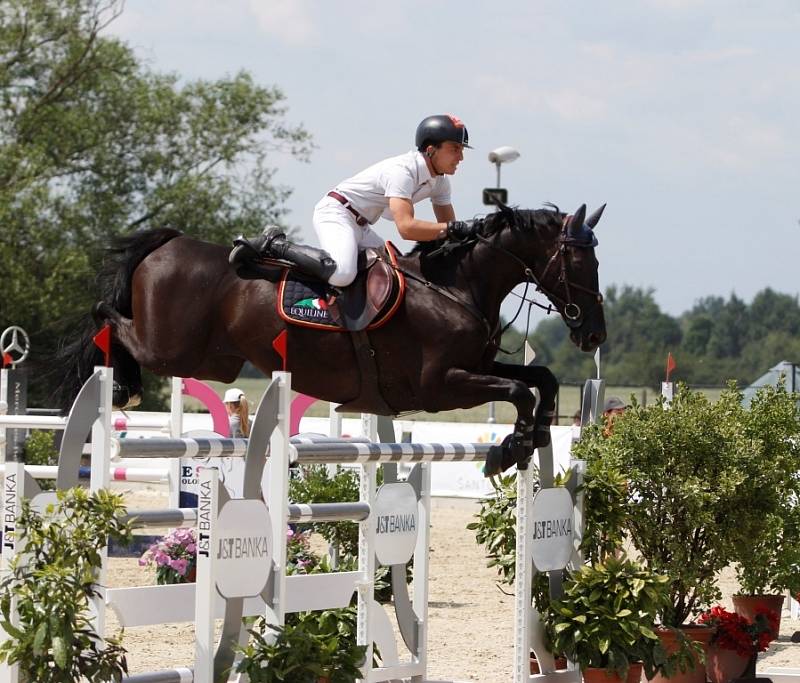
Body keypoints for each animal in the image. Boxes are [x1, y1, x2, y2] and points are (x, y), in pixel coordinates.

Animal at [53, 200, 608, 472]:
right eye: (581, 261)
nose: (594, 334)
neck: (456, 286)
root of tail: (169, 243)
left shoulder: (477, 367)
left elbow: (540, 377)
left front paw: (536, 436)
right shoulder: (439, 385)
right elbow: (518, 389)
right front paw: (511, 447)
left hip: (211, 360)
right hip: (173, 349)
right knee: (109, 318)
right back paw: (122, 384)